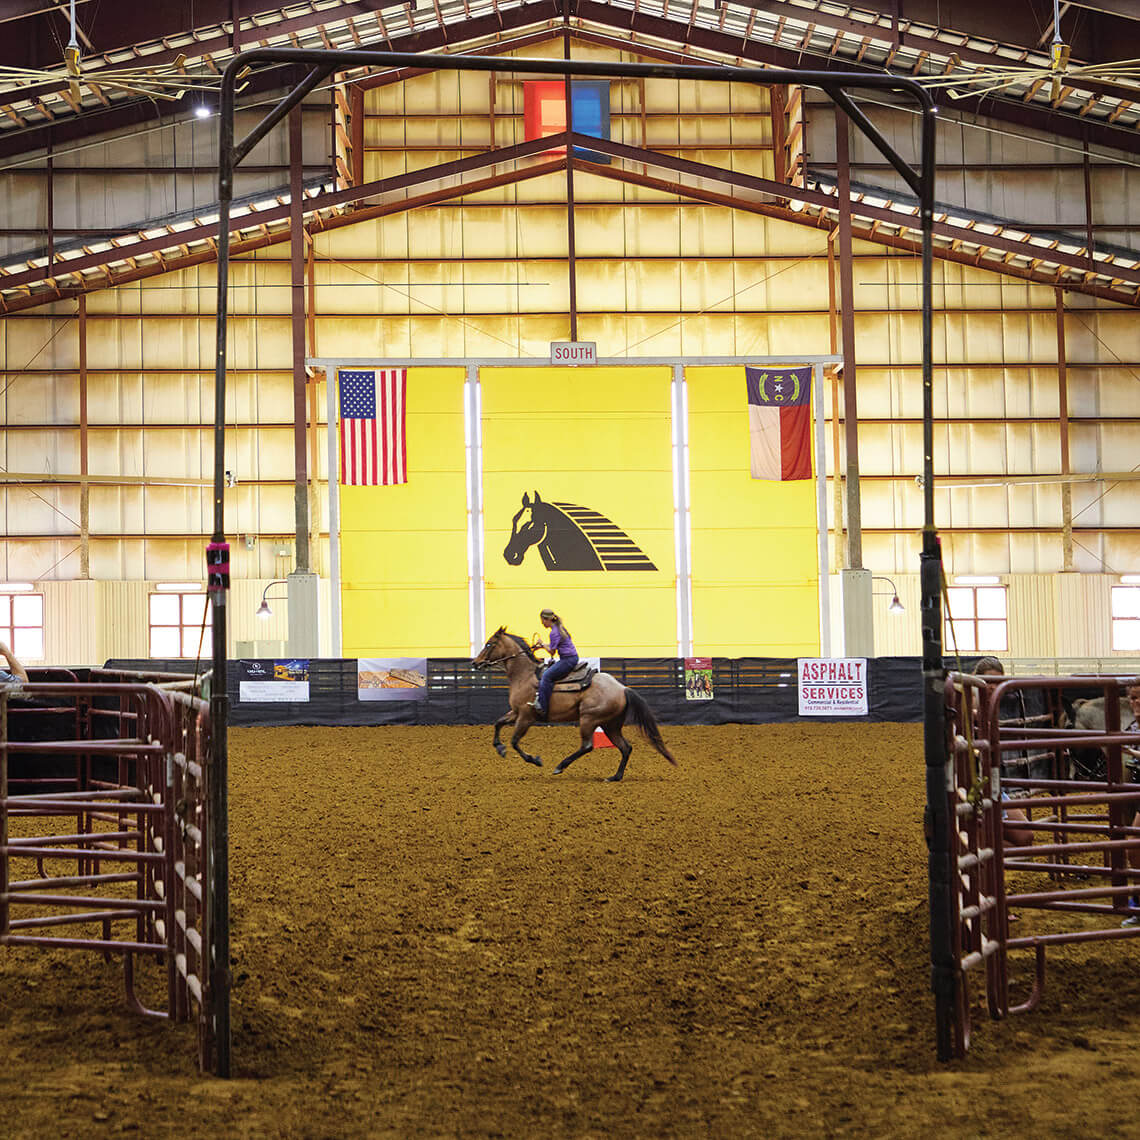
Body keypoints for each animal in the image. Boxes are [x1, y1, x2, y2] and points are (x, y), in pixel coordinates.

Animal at [472, 626, 676, 782]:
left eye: (489, 644)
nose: (475, 663)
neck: (524, 676)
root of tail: (622, 688)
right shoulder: (515, 713)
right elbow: (498, 723)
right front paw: (499, 747)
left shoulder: (526, 717)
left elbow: (515, 741)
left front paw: (535, 760)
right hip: (610, 724)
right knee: (625, 748)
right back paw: (614, 777)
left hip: (589, 719)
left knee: (588, 746)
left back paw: (560, 766)